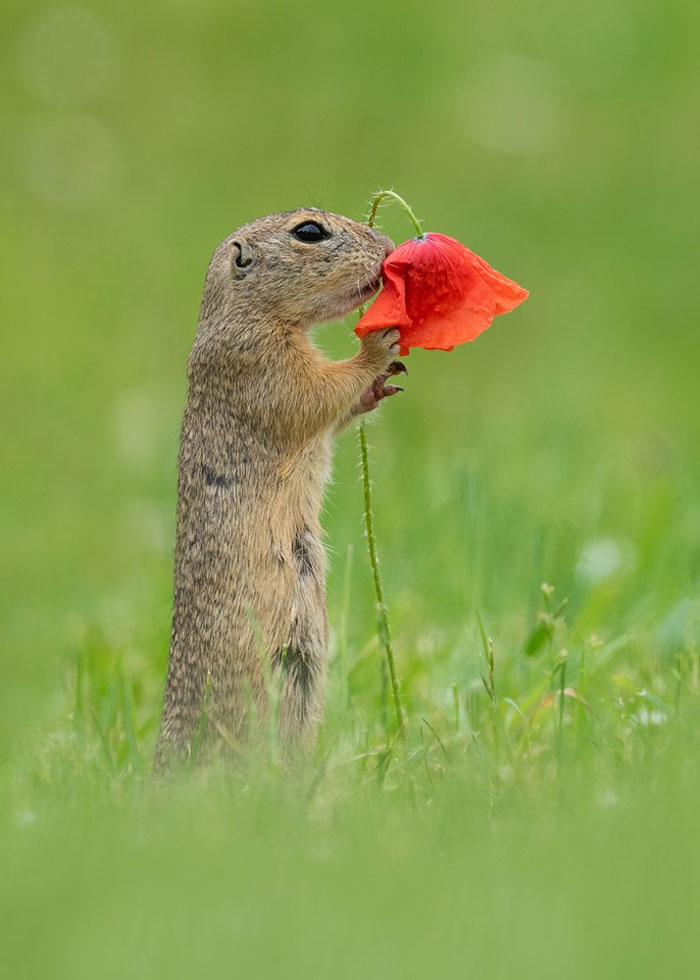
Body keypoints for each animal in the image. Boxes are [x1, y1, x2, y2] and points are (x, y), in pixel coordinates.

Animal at [154, 209, 404, 772]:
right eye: (309, 231)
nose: (388, 246)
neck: (246, 315)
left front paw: (381, 385)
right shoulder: (262, 364)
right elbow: (317, 393)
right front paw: (380, 345)